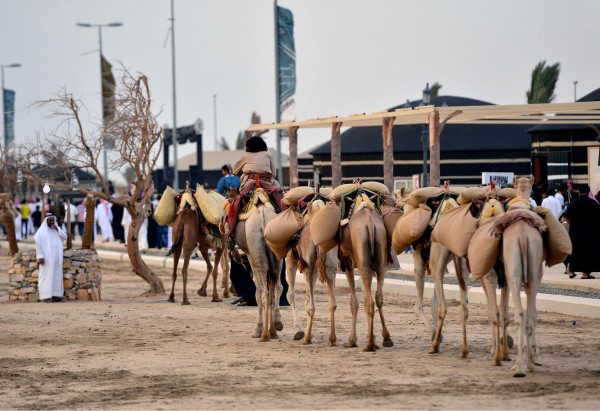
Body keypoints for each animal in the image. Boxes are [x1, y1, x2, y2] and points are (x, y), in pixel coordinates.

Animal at [234, 189, 284, 342]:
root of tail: (263, 218)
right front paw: (274, 330)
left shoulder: (250, 255)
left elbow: (258, 291)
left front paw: (258, 329)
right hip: (276, 252)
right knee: (277, 286)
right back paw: (276, 325)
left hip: (256, 251)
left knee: (264, 292)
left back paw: (264, 335)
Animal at [284, 219, 338, 348]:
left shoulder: (290, 256)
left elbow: (290, 295)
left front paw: (299, 331)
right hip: (329, 264)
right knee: (332, 303)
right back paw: (332, 339)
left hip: (307, 265)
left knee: (310, 306)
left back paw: (307, 338)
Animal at [338, 208, 394, 352]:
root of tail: (369, 221)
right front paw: (373, 336)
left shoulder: (348, 264)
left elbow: (354, 302)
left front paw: (351, 340)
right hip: (380, 259)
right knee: (378, 297)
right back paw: (386, 339)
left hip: (362, 261)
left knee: (369, 301)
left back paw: (369, 345)